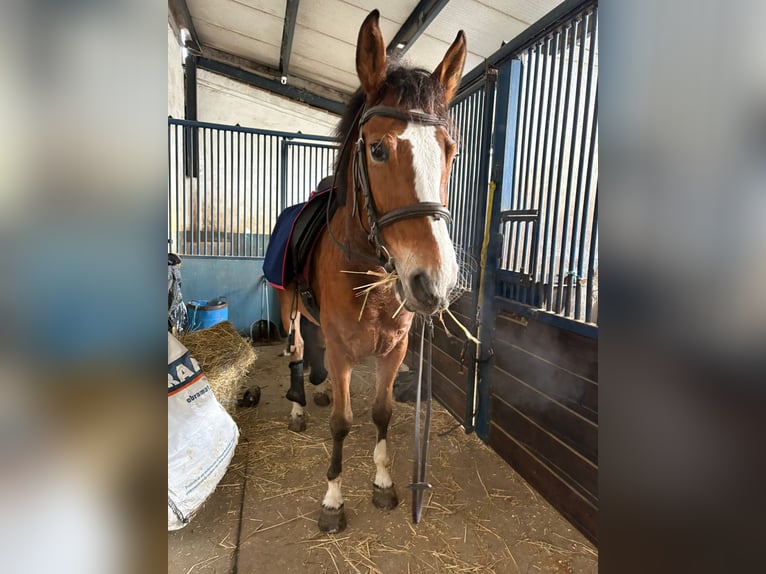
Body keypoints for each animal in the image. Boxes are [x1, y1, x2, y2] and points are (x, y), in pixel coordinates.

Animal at [274, 9, 466, 533]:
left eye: (450, 151)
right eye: (377, 150)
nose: (434, 282)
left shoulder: (394, 349)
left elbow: (381, 413)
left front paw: (382, 482)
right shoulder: (344, 352)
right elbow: (343, 422)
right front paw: (333, 501)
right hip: (285, 304)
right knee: (298, 348)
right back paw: (299, 406)